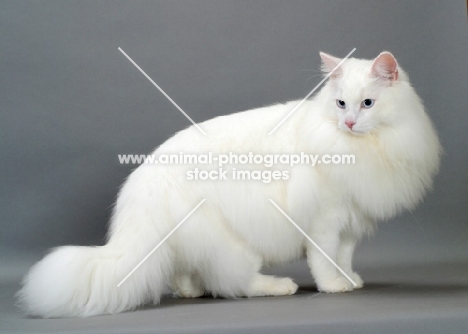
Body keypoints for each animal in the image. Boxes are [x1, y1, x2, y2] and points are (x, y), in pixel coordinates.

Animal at [18, 51, 440, 318]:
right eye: (340, 104)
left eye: (367, 104)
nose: (349, 122)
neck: (364, 149)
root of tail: (143, 181)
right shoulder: (325, 221)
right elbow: (324, 261)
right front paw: (334, 286)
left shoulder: (352, 222)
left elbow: (345, 257)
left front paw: (350, 280)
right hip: (232, 245)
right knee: (235, 283)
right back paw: (279, 285)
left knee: (186, 271)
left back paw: (188, 291)